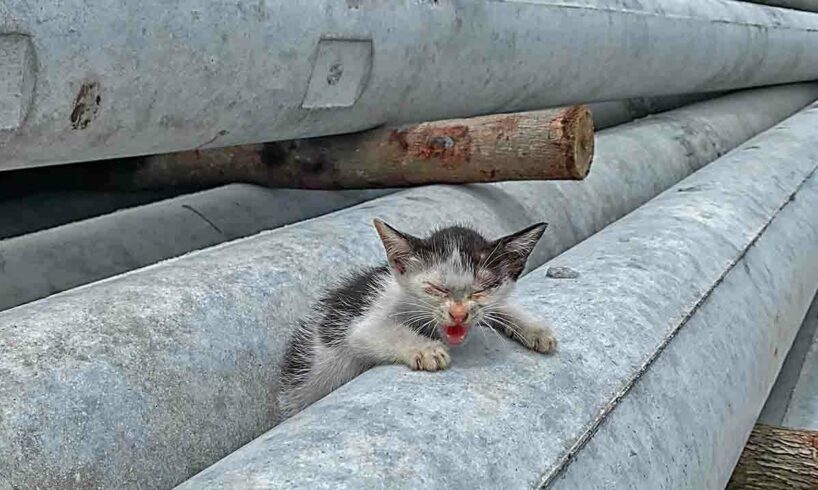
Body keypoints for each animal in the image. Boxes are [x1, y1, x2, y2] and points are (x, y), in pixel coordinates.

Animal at [278, 218, 556, 418]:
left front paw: (535, 329)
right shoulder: (369, 314)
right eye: (436, 288)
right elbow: (378, 332)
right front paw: (427, 350)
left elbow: (498, 307)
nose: (458, 314)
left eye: (481, 290)